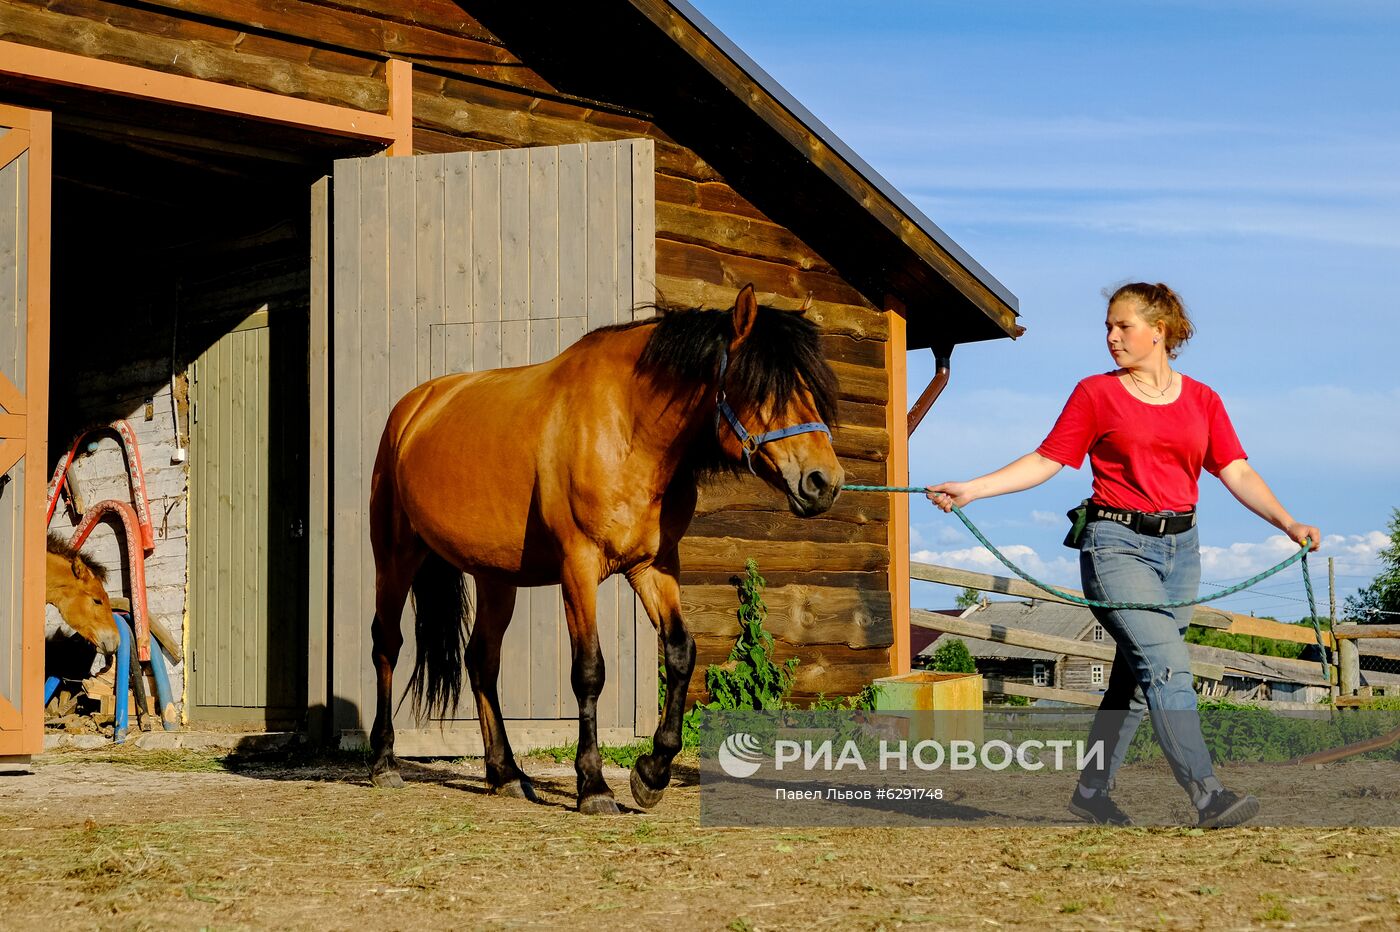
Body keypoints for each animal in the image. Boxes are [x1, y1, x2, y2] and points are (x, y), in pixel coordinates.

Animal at [369, 282, 840, 811]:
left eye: (810, 390)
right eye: (761, 388)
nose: (824, 481)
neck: (626, 428)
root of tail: (413, 410)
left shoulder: (653, 566)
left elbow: (681, 653)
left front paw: (652, 773)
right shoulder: (578, 567)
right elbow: (589, 671)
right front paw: (593, 784)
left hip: (496, 577)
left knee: (481, 661)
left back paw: (505, 773)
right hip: (395, 558)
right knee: (388, 645)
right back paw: (384, 763)